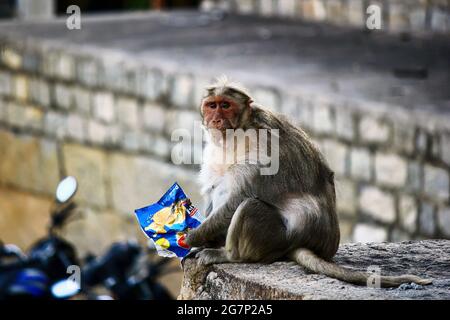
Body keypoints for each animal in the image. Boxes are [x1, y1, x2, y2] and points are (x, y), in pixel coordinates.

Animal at [185, 77, 432, 288]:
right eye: (212, 105)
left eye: (226, 105)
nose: (216, 119)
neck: (237, 132)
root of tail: (302, 243)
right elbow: (215, 187)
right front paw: (199, 238)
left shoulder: (261, 146)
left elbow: (236, 200)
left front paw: (191, 236)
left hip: (274, 239)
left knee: (249, 206)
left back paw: (230, 255)